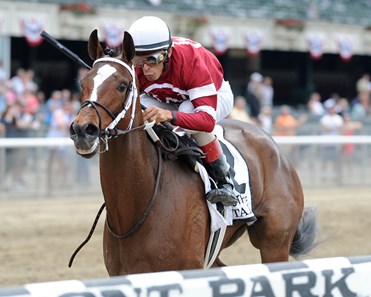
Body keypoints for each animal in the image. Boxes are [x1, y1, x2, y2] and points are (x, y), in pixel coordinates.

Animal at [69, 28, 316, 274]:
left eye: (122, 85)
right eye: (83, 83)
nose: (83, 130)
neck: (135, 210)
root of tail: (275, 148)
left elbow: (204, 116)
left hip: (275, 243)